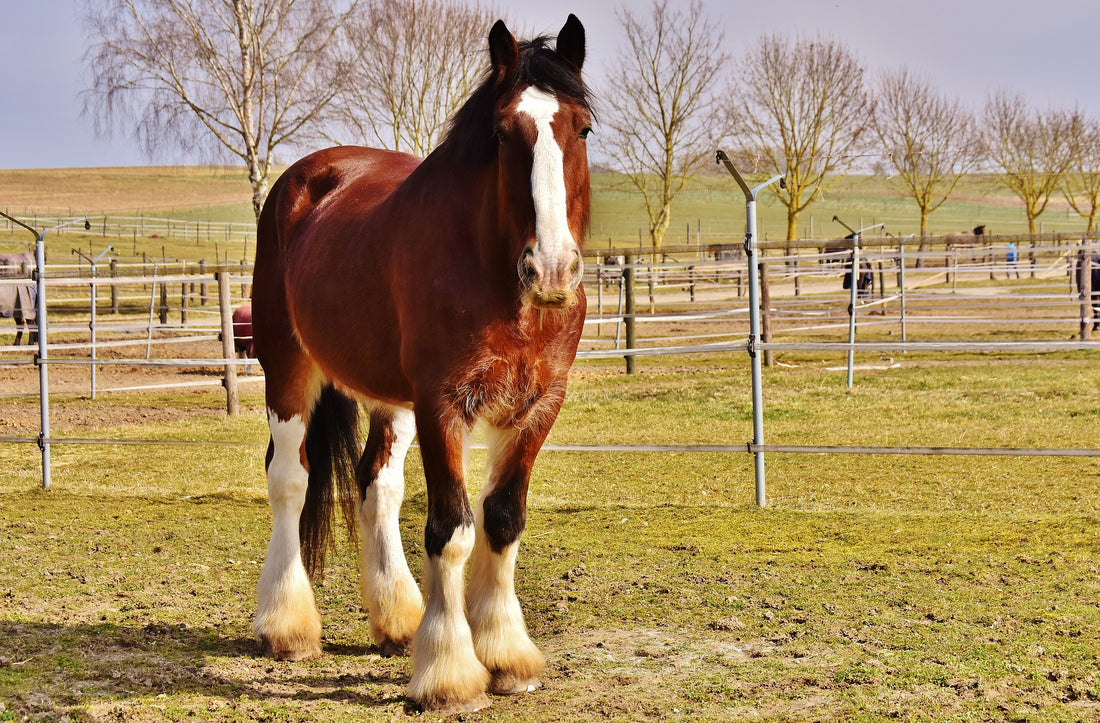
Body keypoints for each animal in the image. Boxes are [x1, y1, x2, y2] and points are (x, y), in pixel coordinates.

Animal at [249, 15, 591, 714]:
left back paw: (397, 619)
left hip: (390, 397)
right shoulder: (443, 404)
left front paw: (506, 655)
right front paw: (449, 673)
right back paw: (287, 626)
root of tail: (306, 177)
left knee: (376, 484)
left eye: (583, 129)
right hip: (288, 370)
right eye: (501, 132)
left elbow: (502, 520)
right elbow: (451, 528)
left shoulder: (538, 405)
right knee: (290, 480)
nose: (551, 268)